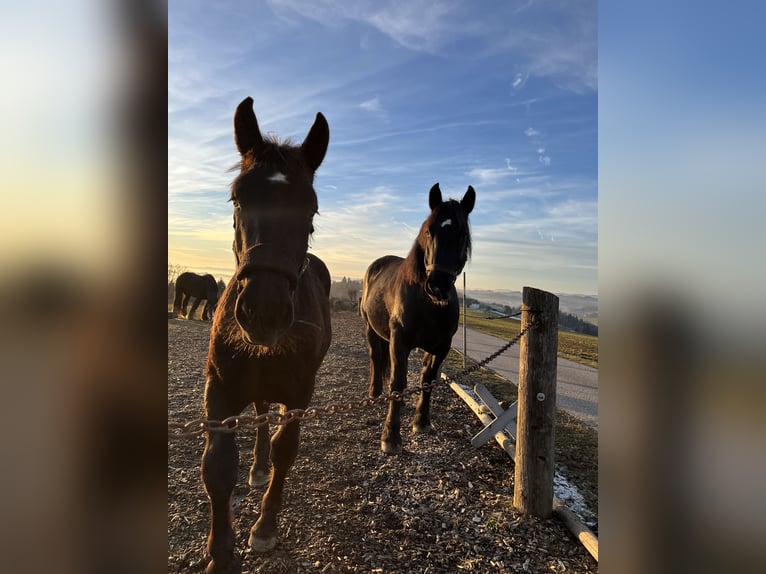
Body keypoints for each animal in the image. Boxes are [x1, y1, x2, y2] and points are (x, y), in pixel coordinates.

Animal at [201, 97, 332, 572]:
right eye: (238, 199)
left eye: (310, 209)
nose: (264, 311)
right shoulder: (219, 390)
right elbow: (218, 468)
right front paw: (221, 554)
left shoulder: (298, 394)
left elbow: (285, 450)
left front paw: (264, 526)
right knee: (258, 415)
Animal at [360, 183, 474, 454]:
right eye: (429, 231)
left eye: (463, 234)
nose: (438, 285)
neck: (427, 303)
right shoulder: (399, 342)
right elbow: (398, 382)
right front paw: (390, 437)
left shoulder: (441, 347)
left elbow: (427, 380)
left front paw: (421, 422)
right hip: (371, 329)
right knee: (376, 358)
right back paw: (374, 394)